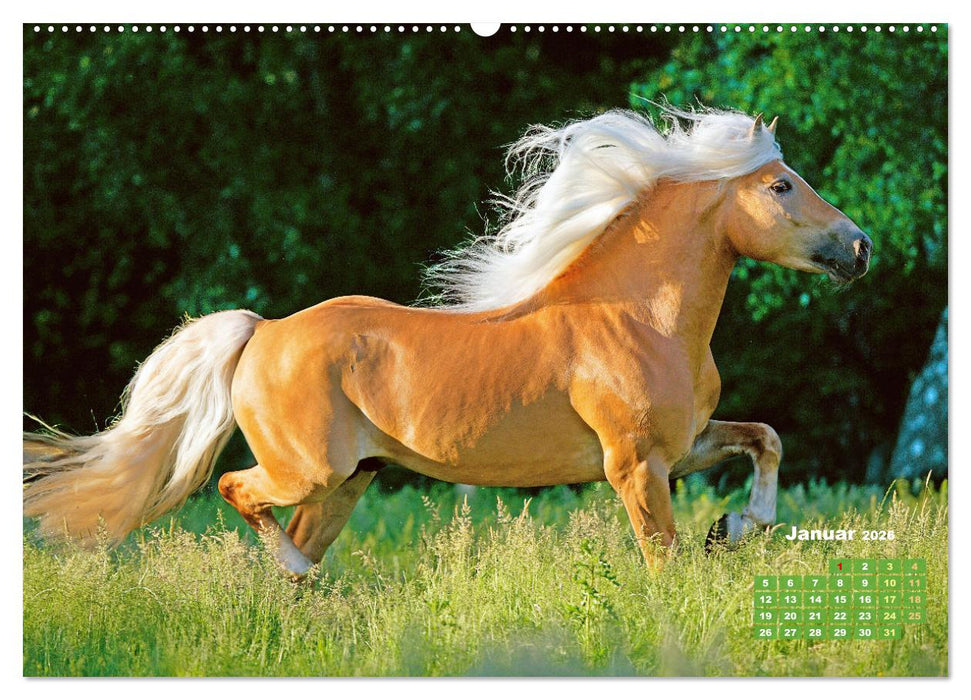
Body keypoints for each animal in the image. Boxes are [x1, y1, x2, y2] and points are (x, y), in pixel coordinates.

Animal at [23, 108, 872, 577]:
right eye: (779, 185)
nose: (859, 247)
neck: (638, 319)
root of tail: (262, 331)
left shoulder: (684, 445)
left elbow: (765, 439)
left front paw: (732, 529)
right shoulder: (634, 465)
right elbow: (662, 561)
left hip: (348, 480)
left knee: (288, 548)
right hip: (309, 470)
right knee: (240, 492)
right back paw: (302, 574)